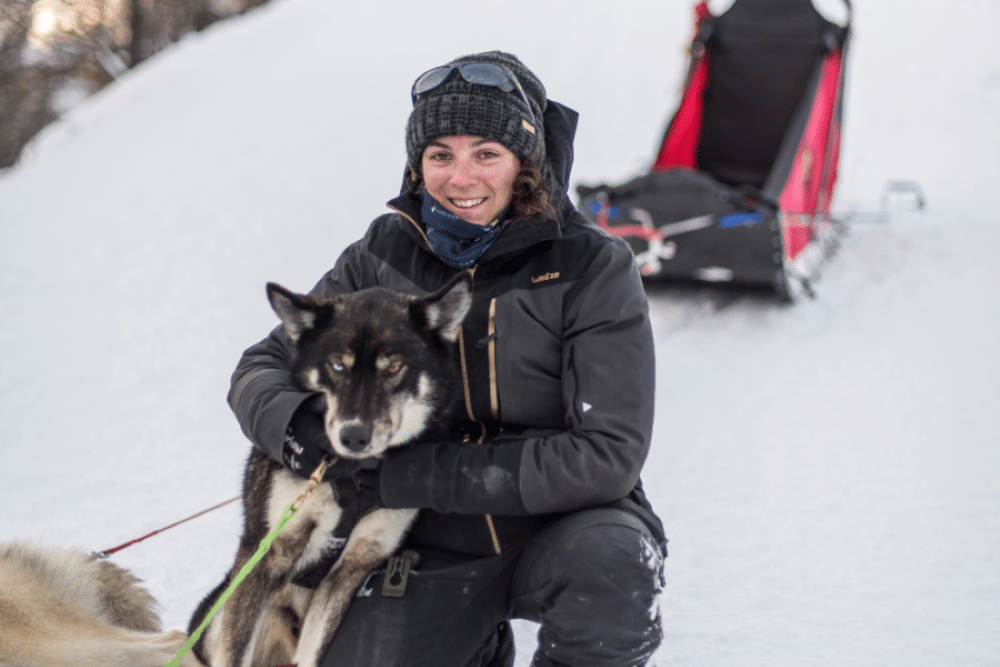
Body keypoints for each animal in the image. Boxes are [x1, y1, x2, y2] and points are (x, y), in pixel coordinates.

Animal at [193, 272, 474, 667]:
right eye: (338, 366)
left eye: (393, 367)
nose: (353, 435)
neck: (351, 477)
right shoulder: (265, 554)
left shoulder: (353, 567)